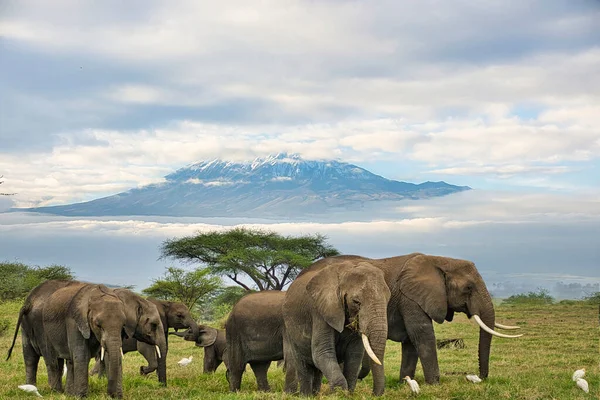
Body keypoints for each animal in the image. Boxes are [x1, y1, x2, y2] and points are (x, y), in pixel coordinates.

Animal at [282, 260, 390, 396]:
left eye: (388, 299)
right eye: (356, 302)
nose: (373, 394)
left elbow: (354, 355)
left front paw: (349, 394)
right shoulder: (319, 311)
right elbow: (322, 352)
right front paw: (339, 394)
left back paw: (315, 394)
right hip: (290, 329)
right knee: (303, 367)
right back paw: (306, 396)